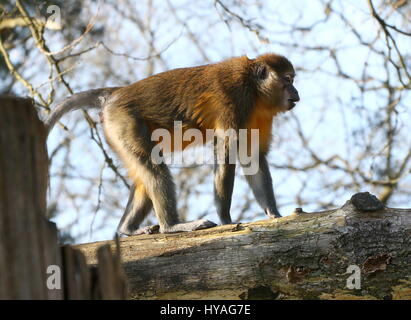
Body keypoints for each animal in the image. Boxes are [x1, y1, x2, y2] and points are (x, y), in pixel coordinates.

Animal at [46, 53, 300, 235]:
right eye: (287, 79)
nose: (296, 93)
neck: (254, 89)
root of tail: (115, 94)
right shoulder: (235, 99)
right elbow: (226, 155)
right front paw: (226, 219)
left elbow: (253, 157)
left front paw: (273, 213)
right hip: (123, 122)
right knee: (153, 167)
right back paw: (172, 226)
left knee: (144, 172)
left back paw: (127, 228)